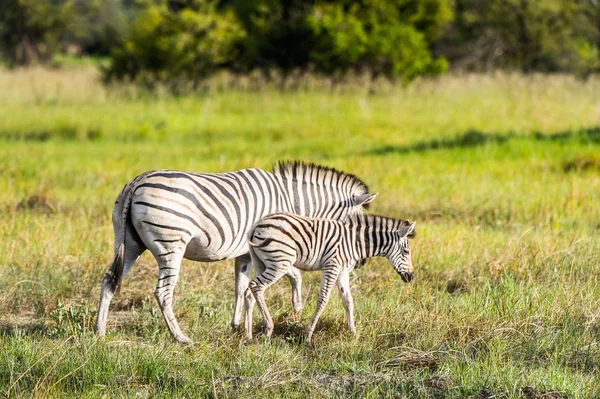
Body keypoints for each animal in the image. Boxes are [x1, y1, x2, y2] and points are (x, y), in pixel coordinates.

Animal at [94, 160, 378, 344]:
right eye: (357, 227)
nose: (360, 263)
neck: (291, 201)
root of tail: (137, 182)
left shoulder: (245, 253)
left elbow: (241, 287)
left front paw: (237, 326)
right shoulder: (276, 247)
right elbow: (294, 275)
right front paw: (296, 308)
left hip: (129, 243)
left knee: (109, 280)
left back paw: (100, 331)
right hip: (171, 243)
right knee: (163, 292)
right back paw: (180, 337)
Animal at [243, 211, 412, 346]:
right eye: (406, 251)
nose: (411, 277)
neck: (355, 242)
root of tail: (256, 225)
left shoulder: (342, 271)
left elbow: (348, 301)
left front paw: (353, 333)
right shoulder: (332, 266)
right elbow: (323, 300)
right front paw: (308, 336)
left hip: (261, 263)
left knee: (249, 292)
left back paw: (248, 335)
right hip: (280, 262)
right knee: (257, 286)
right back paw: (268, 330)